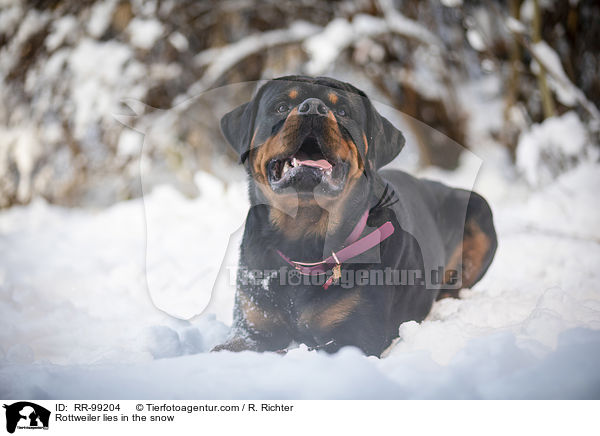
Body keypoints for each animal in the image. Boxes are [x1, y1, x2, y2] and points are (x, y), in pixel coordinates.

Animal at [212, 76, 496, 358]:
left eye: (342, 111)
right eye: (281, 107)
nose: (313, 107)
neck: (303, 241)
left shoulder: (354, 338)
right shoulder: (250, 328)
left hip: (480, 212)